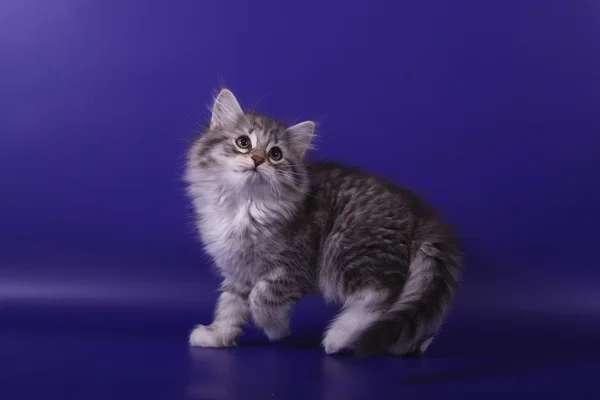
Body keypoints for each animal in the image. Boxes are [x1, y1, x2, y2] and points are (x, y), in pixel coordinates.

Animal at [185, 88, 462, 356]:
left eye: (275, 154)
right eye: (243, 142)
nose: (257, 159)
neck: (245, 206)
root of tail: (422, 214)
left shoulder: (294, 266)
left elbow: (261, 298)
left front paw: (275, 328)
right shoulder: (237, 270)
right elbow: (230, 306)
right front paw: (217, 335)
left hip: (348, 247)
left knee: (381, 295)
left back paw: (339, 337)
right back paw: (408, 345)